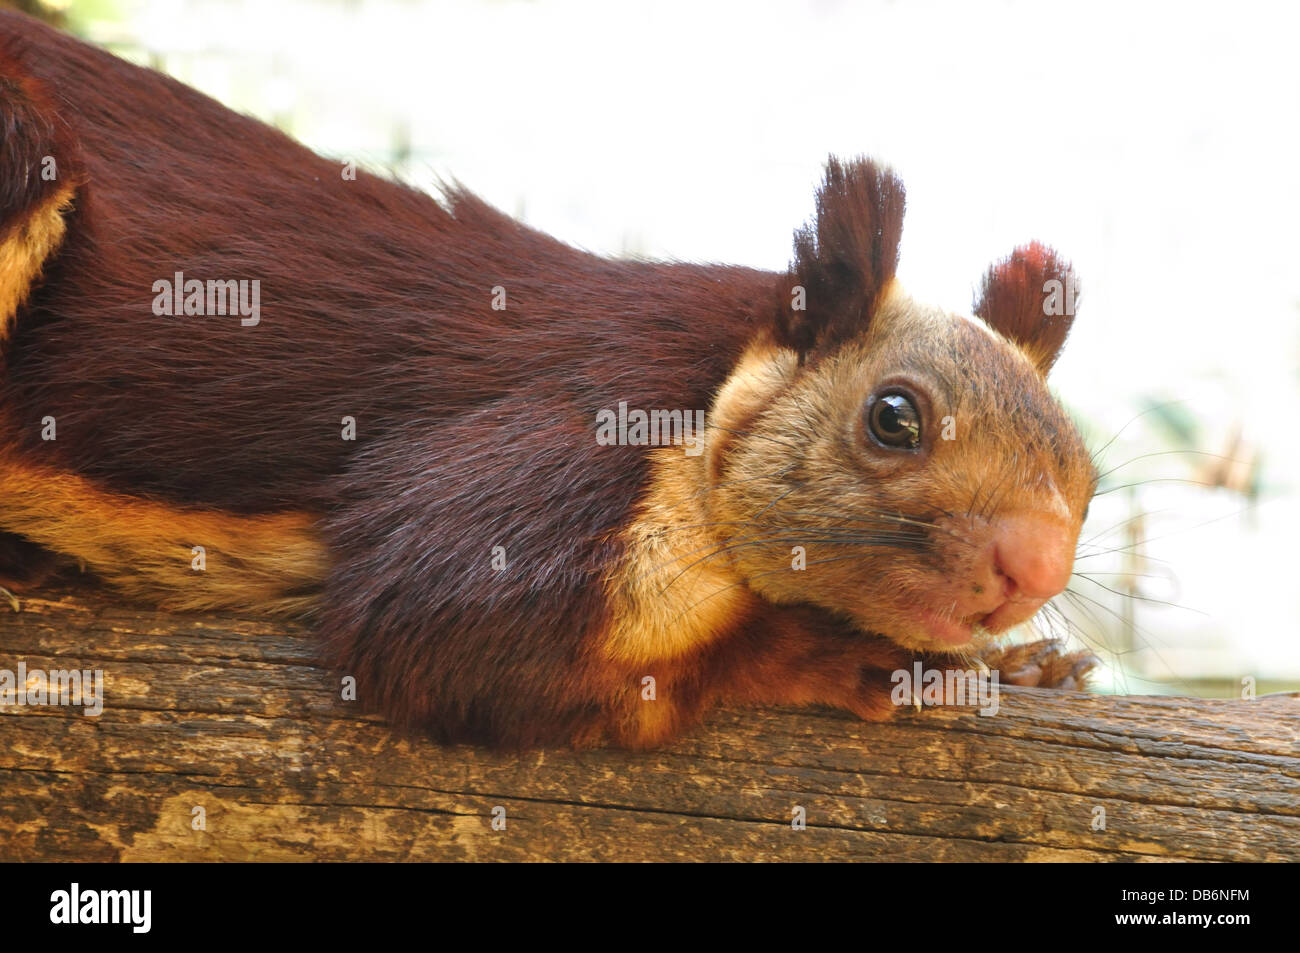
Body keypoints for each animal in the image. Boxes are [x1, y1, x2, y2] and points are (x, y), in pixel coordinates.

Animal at [0, 11, 1097, 748]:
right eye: (893, 416)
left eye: (1086, 479)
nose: (1036, 568)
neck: (718, 381)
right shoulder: (575, 440)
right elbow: (438, 622)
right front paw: (843, 653)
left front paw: (1029, 666)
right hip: (20, 148)